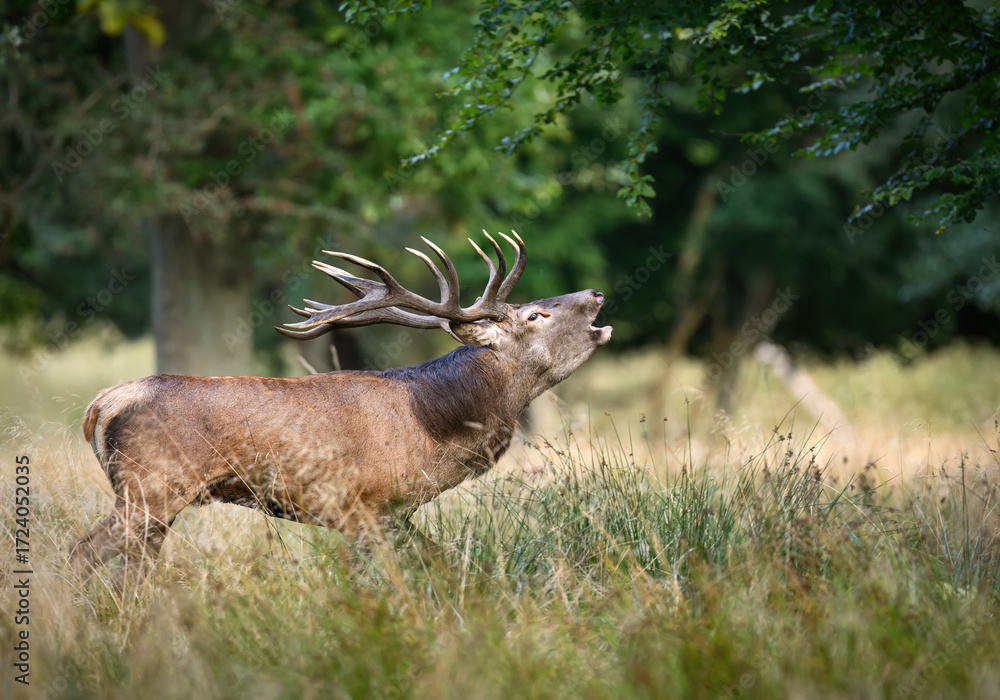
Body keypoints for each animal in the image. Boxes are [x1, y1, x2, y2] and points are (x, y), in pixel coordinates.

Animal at [68, 232, 612, 578]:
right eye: (534, 315)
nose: (596, 292)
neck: (433, 429)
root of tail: (102, 404)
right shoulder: (363, 507)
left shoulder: (391, 515)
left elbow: (435, 559)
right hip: (150, 487)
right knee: (82, 552)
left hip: (152, 503)